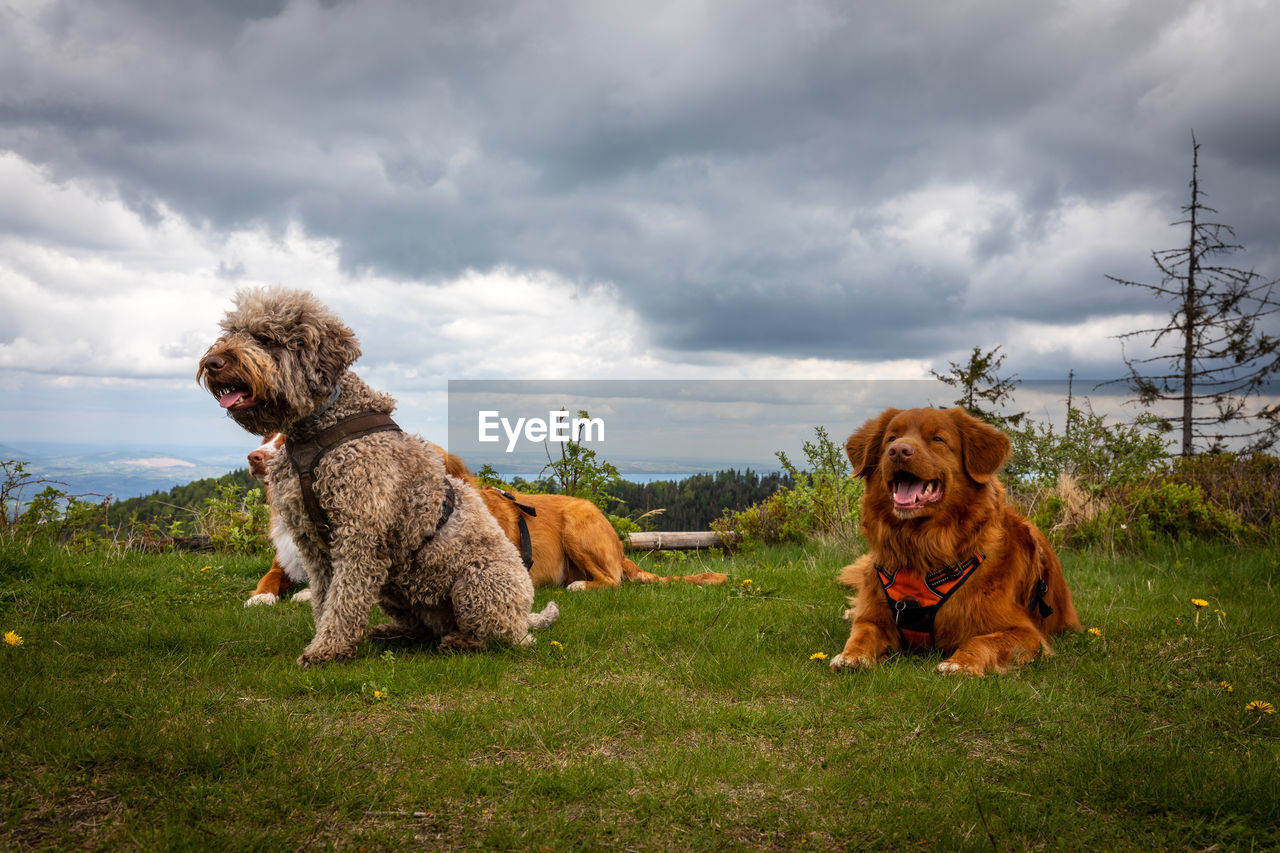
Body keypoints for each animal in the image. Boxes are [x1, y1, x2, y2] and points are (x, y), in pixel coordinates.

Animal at [829, 404, 1080, 671]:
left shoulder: (1027, 633)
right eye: (891, 438)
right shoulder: (874, 617)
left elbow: (980, 641)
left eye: (938, 439)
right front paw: (851, 656)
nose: (898, 451)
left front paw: (961, 662)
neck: (921, 549)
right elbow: (861, 633)